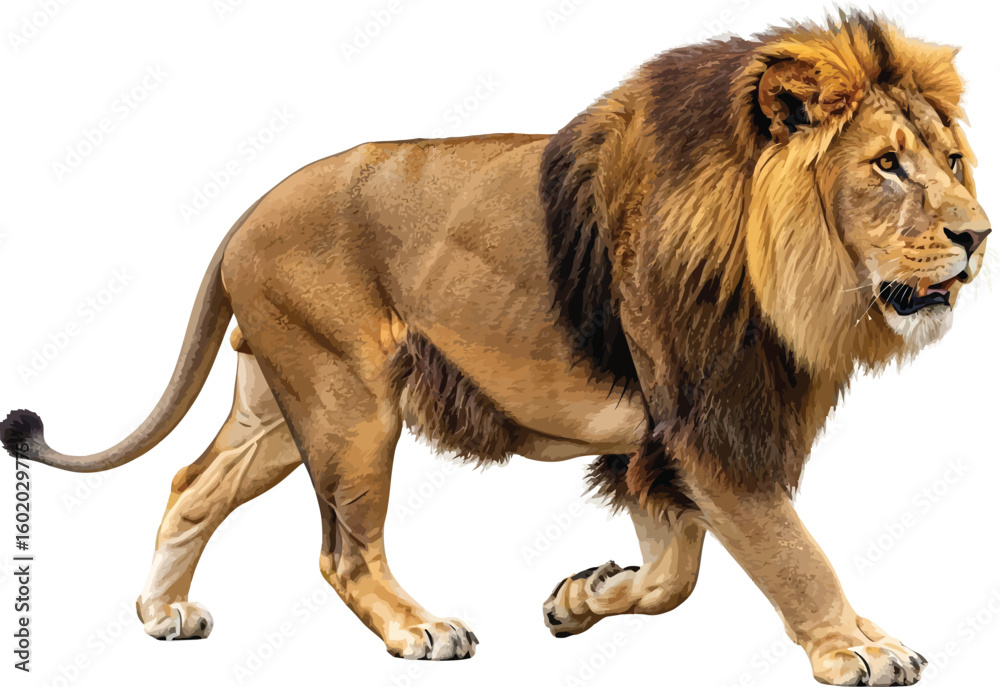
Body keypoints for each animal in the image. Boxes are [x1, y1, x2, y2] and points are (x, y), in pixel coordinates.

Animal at [1, 13, 990, 685]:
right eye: (887, 164)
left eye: (952, 161)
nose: (978, 235)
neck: (793, 275)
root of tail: (244, 213)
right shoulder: (709, 429)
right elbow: (791, 552)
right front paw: (859, 645)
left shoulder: (656, 443)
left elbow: (674, 574)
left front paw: (583, 596)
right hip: (349, 405)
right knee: (342, 550)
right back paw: (419, 629)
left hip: (279, 405)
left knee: (192, 483)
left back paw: (161, 612)